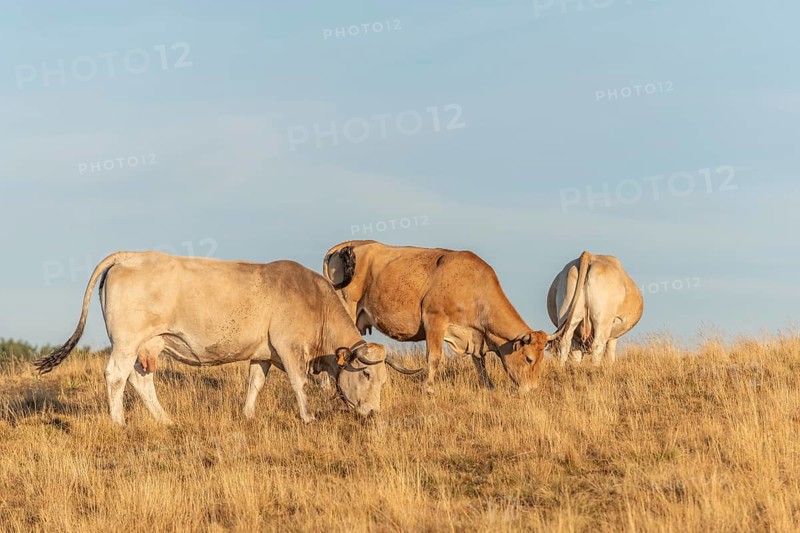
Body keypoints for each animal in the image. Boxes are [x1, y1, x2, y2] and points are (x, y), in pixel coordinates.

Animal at [34, 252, 421, 425]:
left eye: (384, 380)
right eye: (367, 374)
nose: (373, 413)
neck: (314, 300)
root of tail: (128, 256)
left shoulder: (263, 353)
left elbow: (255, 384)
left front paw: (247, 415)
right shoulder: (289, 348)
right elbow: (299, 384)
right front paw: (308, 418)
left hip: (148, 346)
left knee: (141, 380)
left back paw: (166, 421)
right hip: (127, 342)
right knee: (116, 376)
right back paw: (119, 423)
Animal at [322, 240, 568, 394]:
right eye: (529, 359)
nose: (532, 389)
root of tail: (342, 246)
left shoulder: (475, 335)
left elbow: (480, 361)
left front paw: (488, 386)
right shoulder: (434, 321)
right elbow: (434, 357)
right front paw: (428, 388)